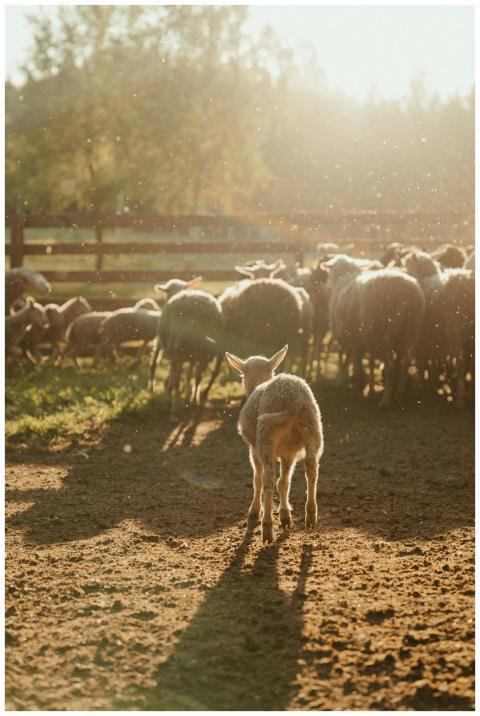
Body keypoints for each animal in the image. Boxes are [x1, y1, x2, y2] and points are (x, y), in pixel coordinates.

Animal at [226, 345, 324, 544]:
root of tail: (293, 401)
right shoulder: (289, 452)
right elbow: (284, 482)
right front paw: (285, 515)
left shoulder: (253, 449)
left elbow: (257, 479)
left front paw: (255, 510)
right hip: (314, 429)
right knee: (311, 470)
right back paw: (311, 515)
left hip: (266, 437)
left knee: (268, 479)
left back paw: (267, 526)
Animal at [322, 255, 425, 407]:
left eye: (331, 271)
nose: (327, 286)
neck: (344, 277)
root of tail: (406, 295)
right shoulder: (360, 338)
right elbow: (361, 359)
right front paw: (362, 381)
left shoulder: (344, 334)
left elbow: (344, 356)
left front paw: (342, 380)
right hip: (410, 332)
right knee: (406, 362)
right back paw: (399, 393)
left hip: (384, 334)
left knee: (390, 369)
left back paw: (385, 400)